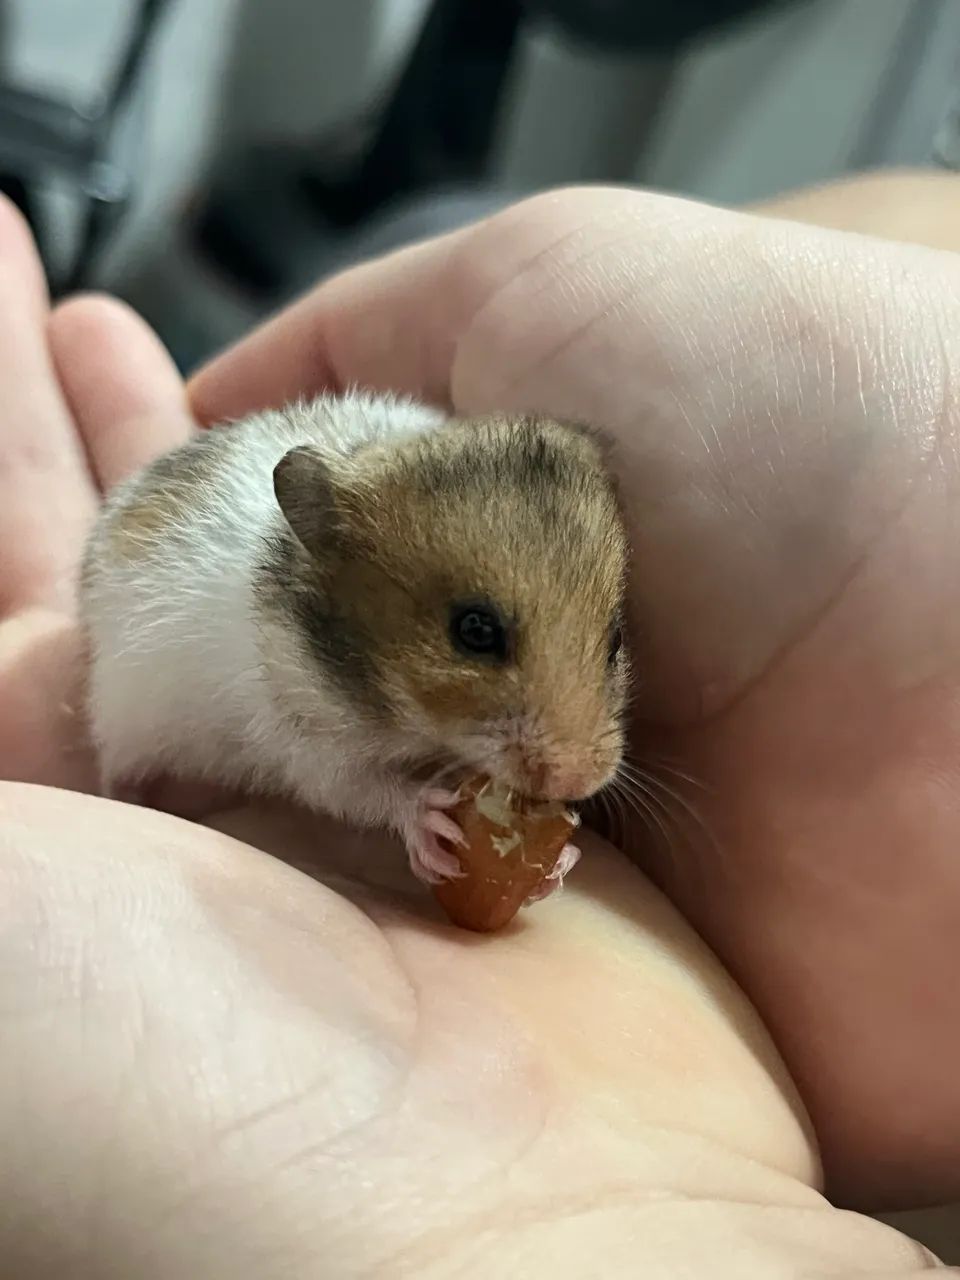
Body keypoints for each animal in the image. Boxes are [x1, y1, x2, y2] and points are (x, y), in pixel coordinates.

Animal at [79, 391, 630, 888]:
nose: (577, 781)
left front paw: (560, 865)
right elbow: (360, 790)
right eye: (475, 630)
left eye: (616, 640)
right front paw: (430, 822)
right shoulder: (304, 740)